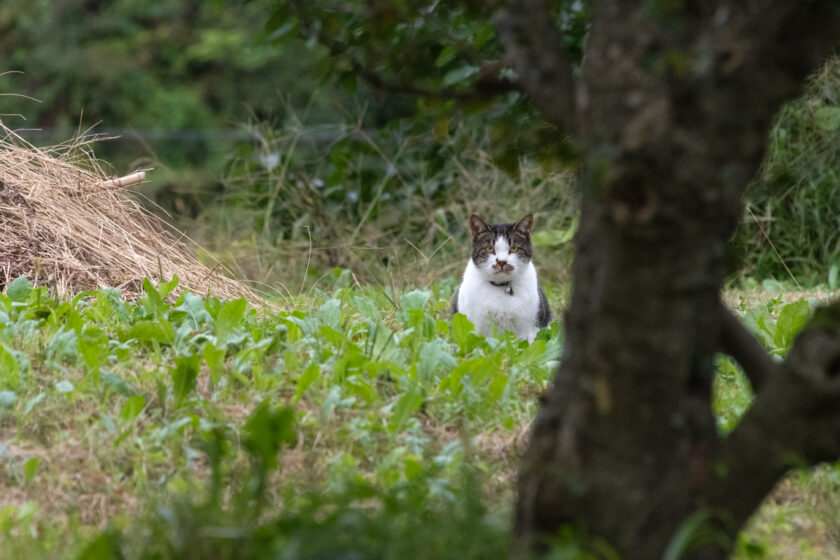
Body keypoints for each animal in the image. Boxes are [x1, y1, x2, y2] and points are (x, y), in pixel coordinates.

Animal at [452, 214, 552, 344]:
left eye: (514, 248)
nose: (502, 262)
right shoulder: (476, 328)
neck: (500, 286)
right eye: (489, 249)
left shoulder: (530, 331)